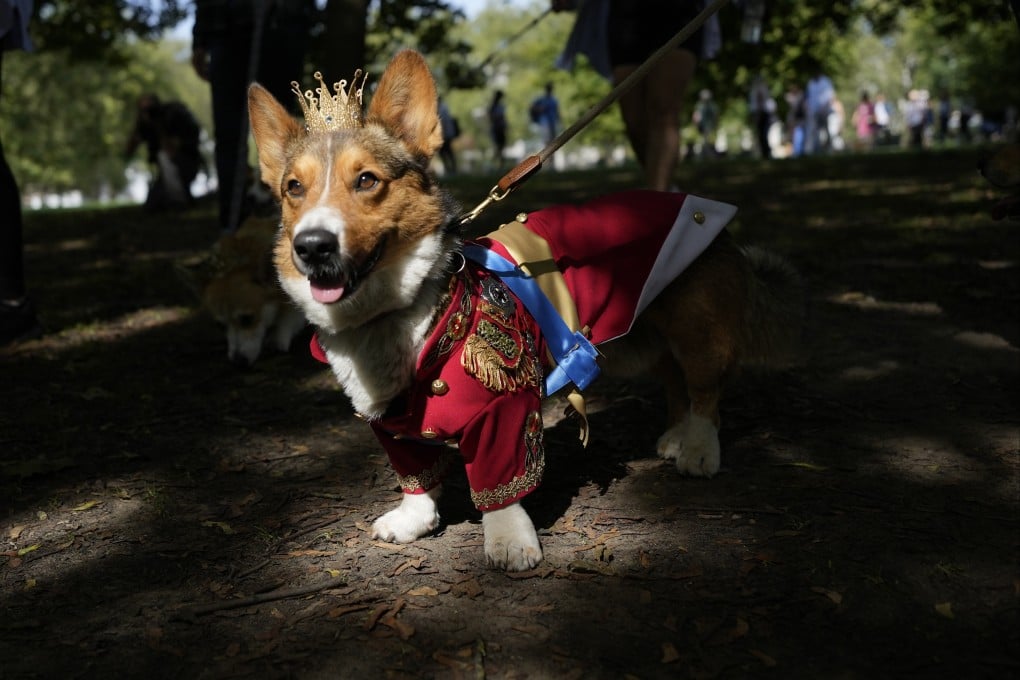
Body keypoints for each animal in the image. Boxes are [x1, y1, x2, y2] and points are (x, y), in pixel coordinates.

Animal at [248, 50, 803, 570]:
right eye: (293, 188)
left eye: (366, 180)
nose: (311, 247)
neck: (394, 314)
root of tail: (711, 216)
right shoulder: (391, 427)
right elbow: (415, 479)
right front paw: (411, 521)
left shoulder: (505, 410)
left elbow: (501, 485)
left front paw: (510, 543)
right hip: (645, 336)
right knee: (672, 379)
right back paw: (674, 436)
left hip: (696, 330)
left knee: (706, 390)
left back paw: (698, 449)